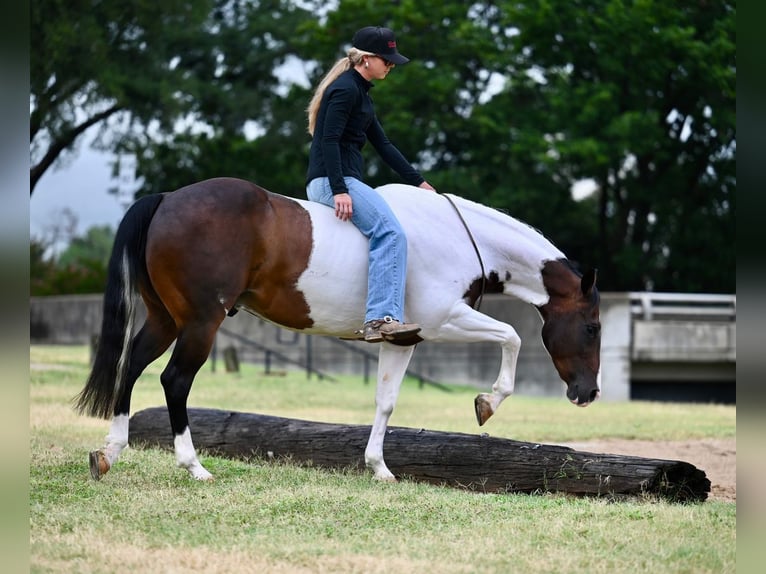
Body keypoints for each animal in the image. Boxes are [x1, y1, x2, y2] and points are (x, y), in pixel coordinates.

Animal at [75, 177, 601, 482]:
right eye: (594, 327)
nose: (589, 394)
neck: (454, 236)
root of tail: (168, 199)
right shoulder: (443, 320)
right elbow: (512, 337)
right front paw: (487, 404)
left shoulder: (403, 338)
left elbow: (385, 401)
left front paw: (379, 469)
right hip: (201, 323)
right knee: (174, 380)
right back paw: (194, 466)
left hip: (167, 320)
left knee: (131, 367)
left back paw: (109, 453)